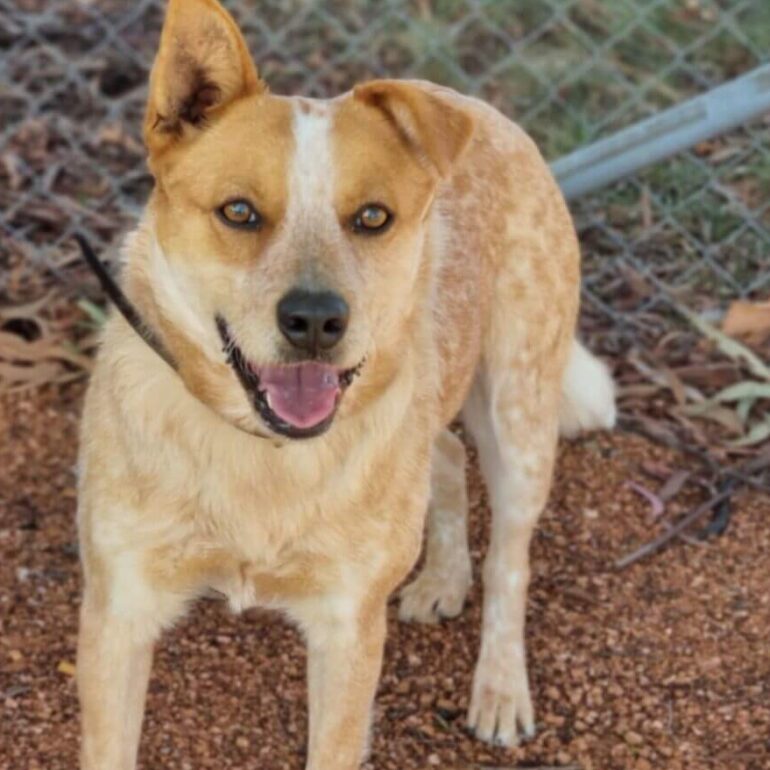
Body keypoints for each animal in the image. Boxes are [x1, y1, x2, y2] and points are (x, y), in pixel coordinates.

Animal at [75, 0, 616, 764]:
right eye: (238, 211)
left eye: (373, 217)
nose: (314, 321)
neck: (263, 454)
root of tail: (482, 109)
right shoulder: (119, 611)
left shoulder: (347, 627)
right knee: (446, 454)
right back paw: (442, 578)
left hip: (520, 413)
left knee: (511, 558)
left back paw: (501, 688)